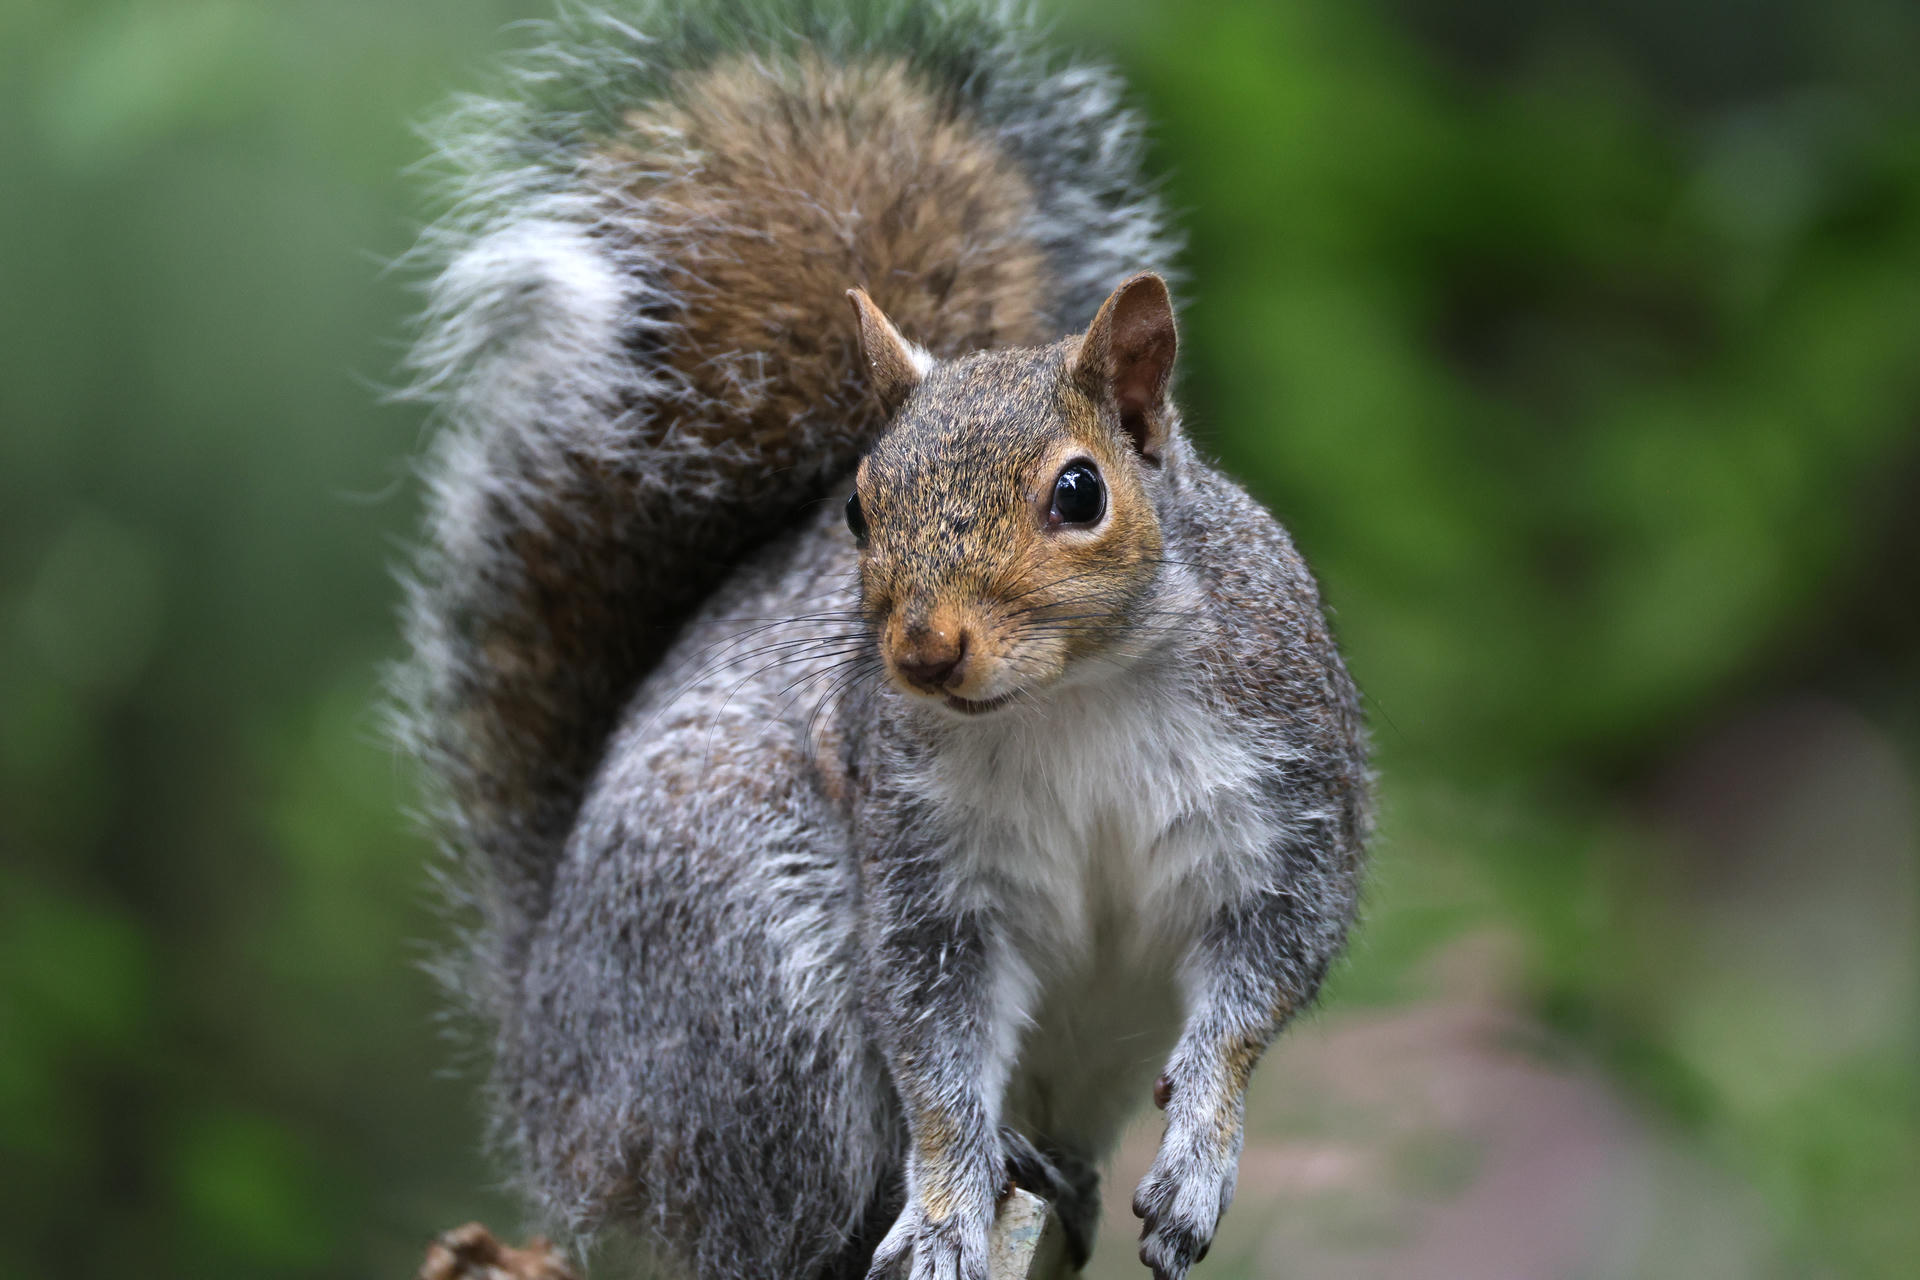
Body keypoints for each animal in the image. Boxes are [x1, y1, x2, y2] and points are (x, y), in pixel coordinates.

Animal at [395, 4, 1370, 1279]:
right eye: (857, 510)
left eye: (1080, 492)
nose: (922, 651)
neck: (1074, 692)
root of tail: (549, 1090)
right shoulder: (923, 871)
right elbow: (935, 1059)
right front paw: (951, 1207)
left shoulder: (1286, 799)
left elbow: (1256, 997)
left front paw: (1198, 1160)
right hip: (759, 988)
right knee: (766, 1215)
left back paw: (1067, 1176)